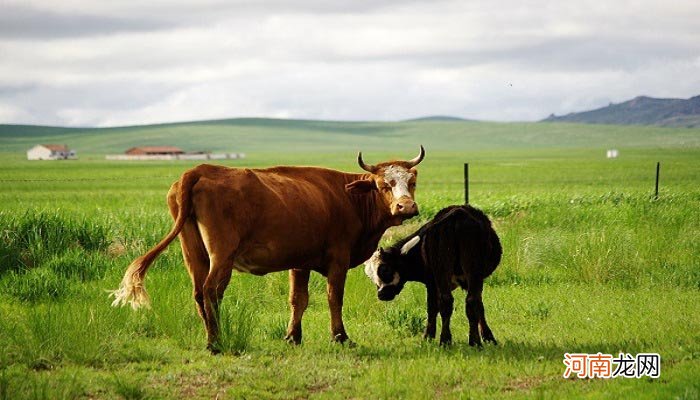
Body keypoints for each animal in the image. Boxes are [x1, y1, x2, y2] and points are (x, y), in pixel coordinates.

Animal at [111, 148, 424, 354]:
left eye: (412, 182)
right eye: (383, 184)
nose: (406, 207)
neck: (347, 197)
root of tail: (199, 170)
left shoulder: (300, 262)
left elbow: (298, 299)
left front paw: (293, 337)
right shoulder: (338, 258)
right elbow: (334, 298)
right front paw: (340, 337)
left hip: (194, 253)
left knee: (199, 293)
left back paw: (210, 338)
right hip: (222, 254)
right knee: (212, 291)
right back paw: (216, 342)